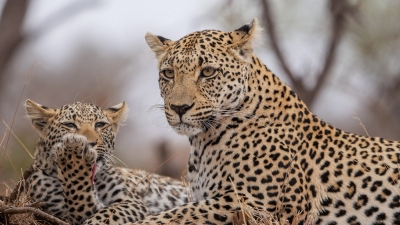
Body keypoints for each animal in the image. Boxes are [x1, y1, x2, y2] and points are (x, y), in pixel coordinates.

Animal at [24, 100, 188, 225]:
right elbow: (81, 200)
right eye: (70, 125)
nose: (90, 143)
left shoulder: (130, 201)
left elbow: (106, 214)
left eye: (99, 124)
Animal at [138, 19, 400, 225]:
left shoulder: (254, 202)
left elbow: (171, 216)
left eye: (208, 72)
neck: (203, 142)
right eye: (168, 73)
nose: (179, 108)